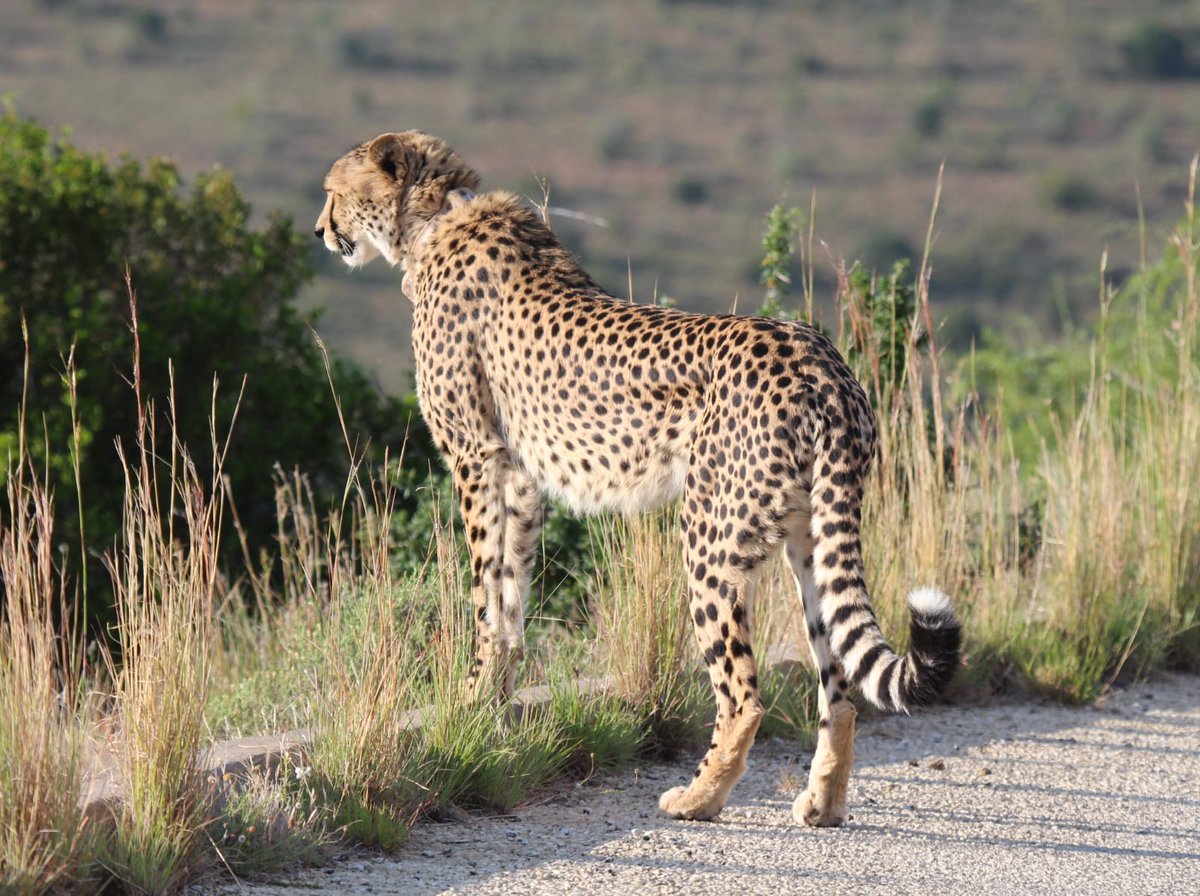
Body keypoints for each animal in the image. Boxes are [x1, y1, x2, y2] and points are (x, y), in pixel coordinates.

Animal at [314, 131, 960, 825]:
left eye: (332, 192)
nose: (320, 229)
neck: (433, 219)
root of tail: (821, 359)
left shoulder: (476, 459)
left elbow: (484, 594)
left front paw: (468, 705)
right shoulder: (521, 479)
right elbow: (511, 598)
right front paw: (494, 712)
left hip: (710, 536)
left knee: (743, 695)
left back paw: (697, 797)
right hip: (807, 535)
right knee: (837, 687)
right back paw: (822, 802)